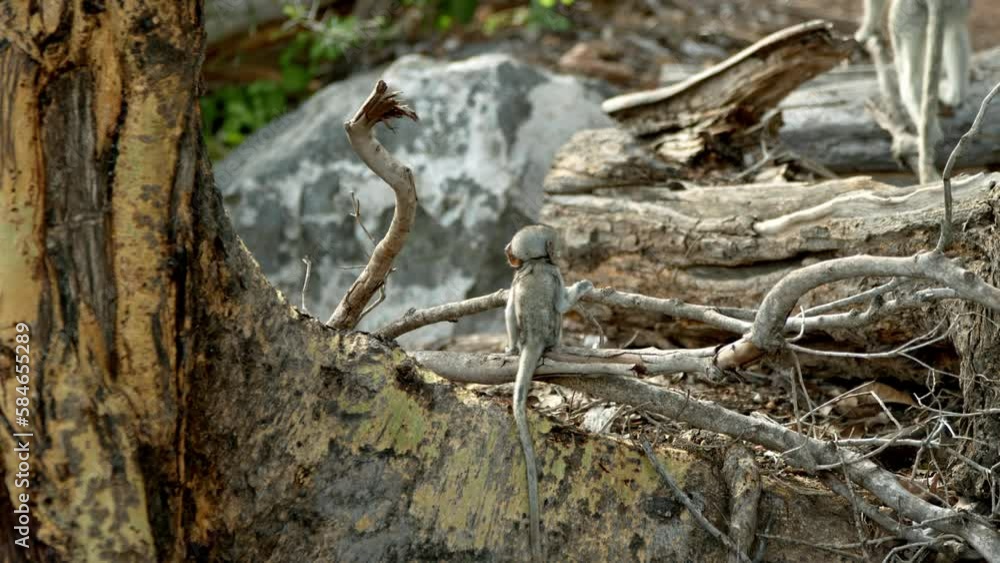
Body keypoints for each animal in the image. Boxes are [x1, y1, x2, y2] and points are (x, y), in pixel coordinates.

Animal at [504, 225, 593, 562]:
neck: (537, 263)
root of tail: (536, 339)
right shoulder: (555, 273)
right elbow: (562, 304)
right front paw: (582, 287)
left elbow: (508, 307)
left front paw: (508, 347)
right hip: (554, 330)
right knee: (557, 315)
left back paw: (514, 348)